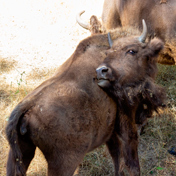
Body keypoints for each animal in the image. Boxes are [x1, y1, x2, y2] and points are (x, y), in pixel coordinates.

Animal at [5, 20, 165, 175]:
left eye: (131, 51)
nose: (101, 71)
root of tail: (26, 107)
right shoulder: (126, 122)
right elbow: (131, 161)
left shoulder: (110, 133)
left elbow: (117, 158)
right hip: (63, 163)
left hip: (20, 155)